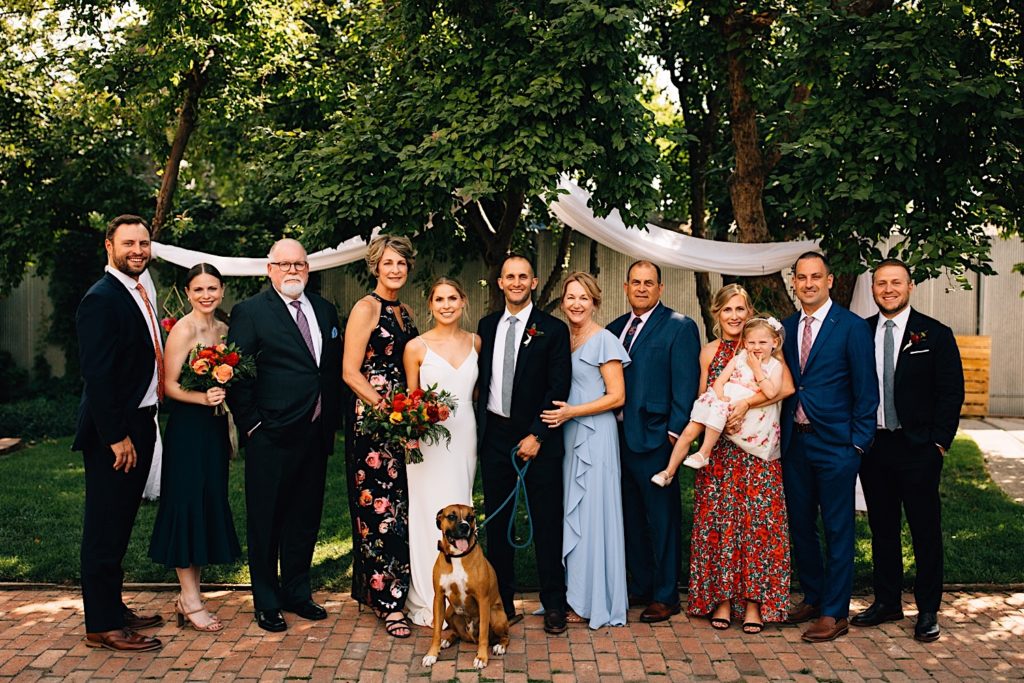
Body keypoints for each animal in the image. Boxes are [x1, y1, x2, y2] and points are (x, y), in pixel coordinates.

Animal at [419, 505, 507, 671]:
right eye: (451, 517)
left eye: (470, 517)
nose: (465, 526)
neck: (457, 557)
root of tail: (470, 637)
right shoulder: (438, 598)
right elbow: (436, 631)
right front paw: (432, 654)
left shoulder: (483, 600)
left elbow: (484, 634)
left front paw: (481, 657)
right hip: (449, 612)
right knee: (456, 632)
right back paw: (447, 640)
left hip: (495, 615)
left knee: (504, 636)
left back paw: (500, 646)